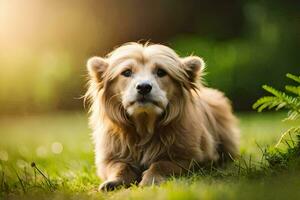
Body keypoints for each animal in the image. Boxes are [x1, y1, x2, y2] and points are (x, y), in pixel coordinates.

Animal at [85, 42, 239, 191]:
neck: (144, 125)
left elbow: (161, 164)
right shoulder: (110, 157)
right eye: (126, 72)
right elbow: (120, 167)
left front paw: (150, 180)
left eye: (161, 72)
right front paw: (115, 181)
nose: (144, 87)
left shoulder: (187, 158)